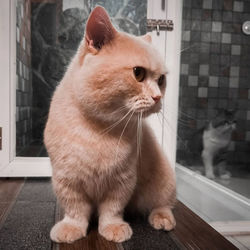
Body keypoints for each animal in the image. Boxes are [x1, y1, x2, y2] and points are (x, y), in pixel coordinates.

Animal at [45, 6, 177, 244]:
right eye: (138, 73)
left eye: (161, 79)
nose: (157, 97)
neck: (98, 129)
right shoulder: (66, 179)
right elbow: (75, 210)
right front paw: (71, 228)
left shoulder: (122, 180)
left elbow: (112, 209)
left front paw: (113, 227)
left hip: (163, 182)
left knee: (164, 204)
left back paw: (162, 218)